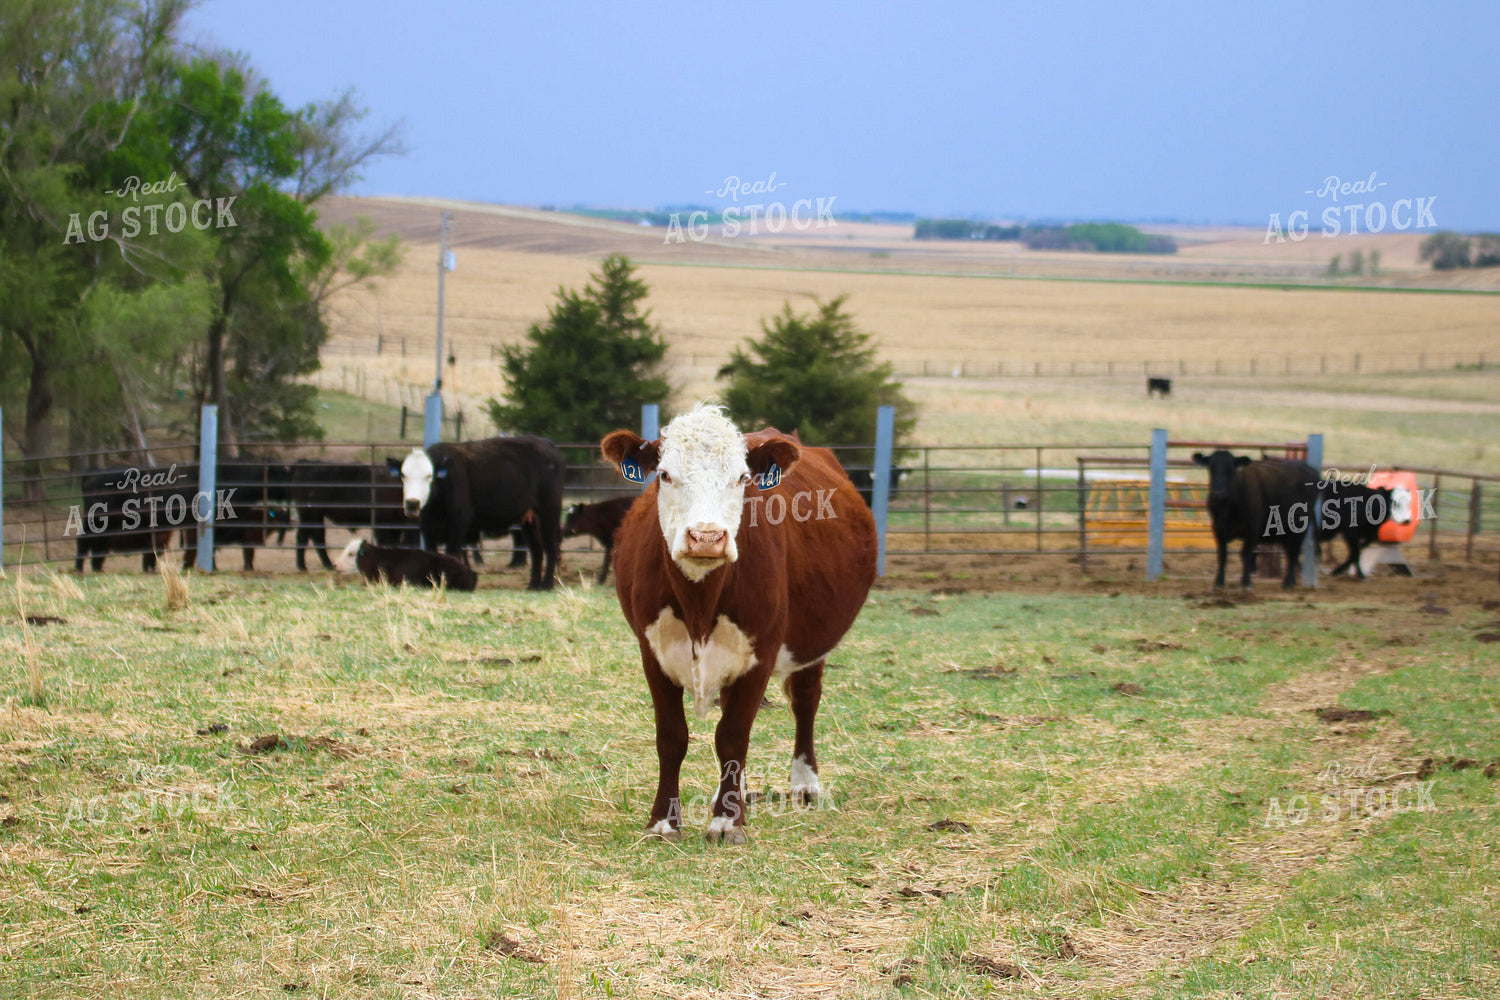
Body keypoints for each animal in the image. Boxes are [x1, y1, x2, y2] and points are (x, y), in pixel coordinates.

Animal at [290, 459, 420, 571]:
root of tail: (304, 463)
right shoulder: (384, 524)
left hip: (313, 515)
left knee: (312, 535)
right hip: (311, 514)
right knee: (309, 535)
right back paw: (309, 565)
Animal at [390, 436, 565, 590]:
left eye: (429, 476)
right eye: (403, 475)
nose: (412, 503)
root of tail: (547, 443)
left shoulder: (459, 521)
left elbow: (452, 553)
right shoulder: (427, 527)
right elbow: (432, 554)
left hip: (549, 511)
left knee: (551, 547)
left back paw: (547, 585)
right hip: (530, 518)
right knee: (537, 550)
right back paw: (533, 585)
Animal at [602, 405, 877, 844]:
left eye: (742, 478)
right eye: (664, 474)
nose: (706, 537)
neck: (699, 601)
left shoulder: (762, 652)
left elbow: (732, 735)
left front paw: (727, 821)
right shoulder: (652, 652)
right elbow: (672, 736)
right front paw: (664, 821)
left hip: (812, 642)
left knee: (805, 701)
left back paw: (804, 784)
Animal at [1193, 450, 1318, 589]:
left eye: (1230, 469)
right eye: (1211, 467)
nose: (1218, 493)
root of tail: (1309, 468)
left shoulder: (1252, 529)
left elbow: (1246, 553)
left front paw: (1246, 581)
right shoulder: (1218, 529)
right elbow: (1222, 555)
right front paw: (1219, 581)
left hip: (1299, 529)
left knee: (1293, 552)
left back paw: (1288, 582)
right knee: (1291, 552)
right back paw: (1292, 580)